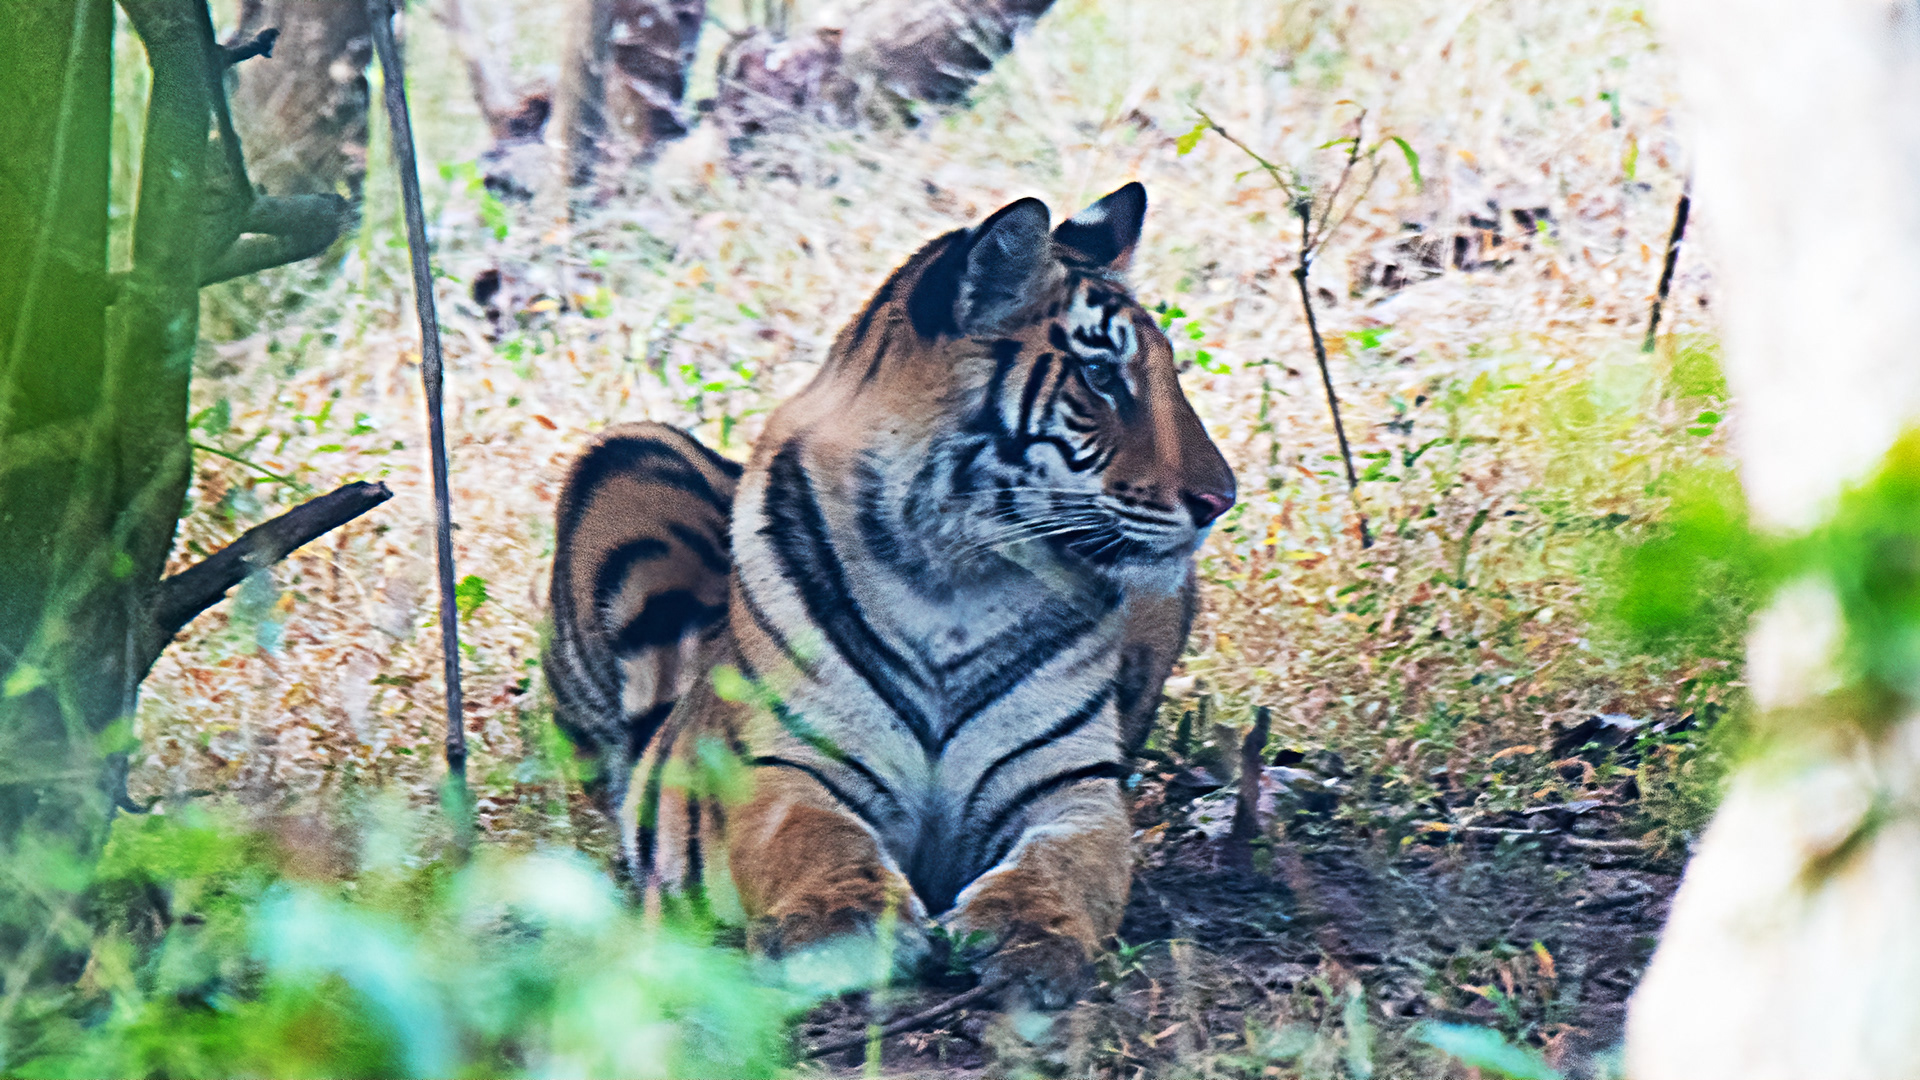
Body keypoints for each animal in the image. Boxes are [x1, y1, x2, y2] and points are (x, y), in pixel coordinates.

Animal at [545, 182, 1235, 1008]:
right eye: (1101, 377)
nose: (1222, 499)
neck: (958, 577)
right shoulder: (786, 763)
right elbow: (813, 839)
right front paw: (844, 926)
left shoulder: (1068, 784)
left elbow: (1069, 865)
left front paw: (1025, 933)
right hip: (630, 453)